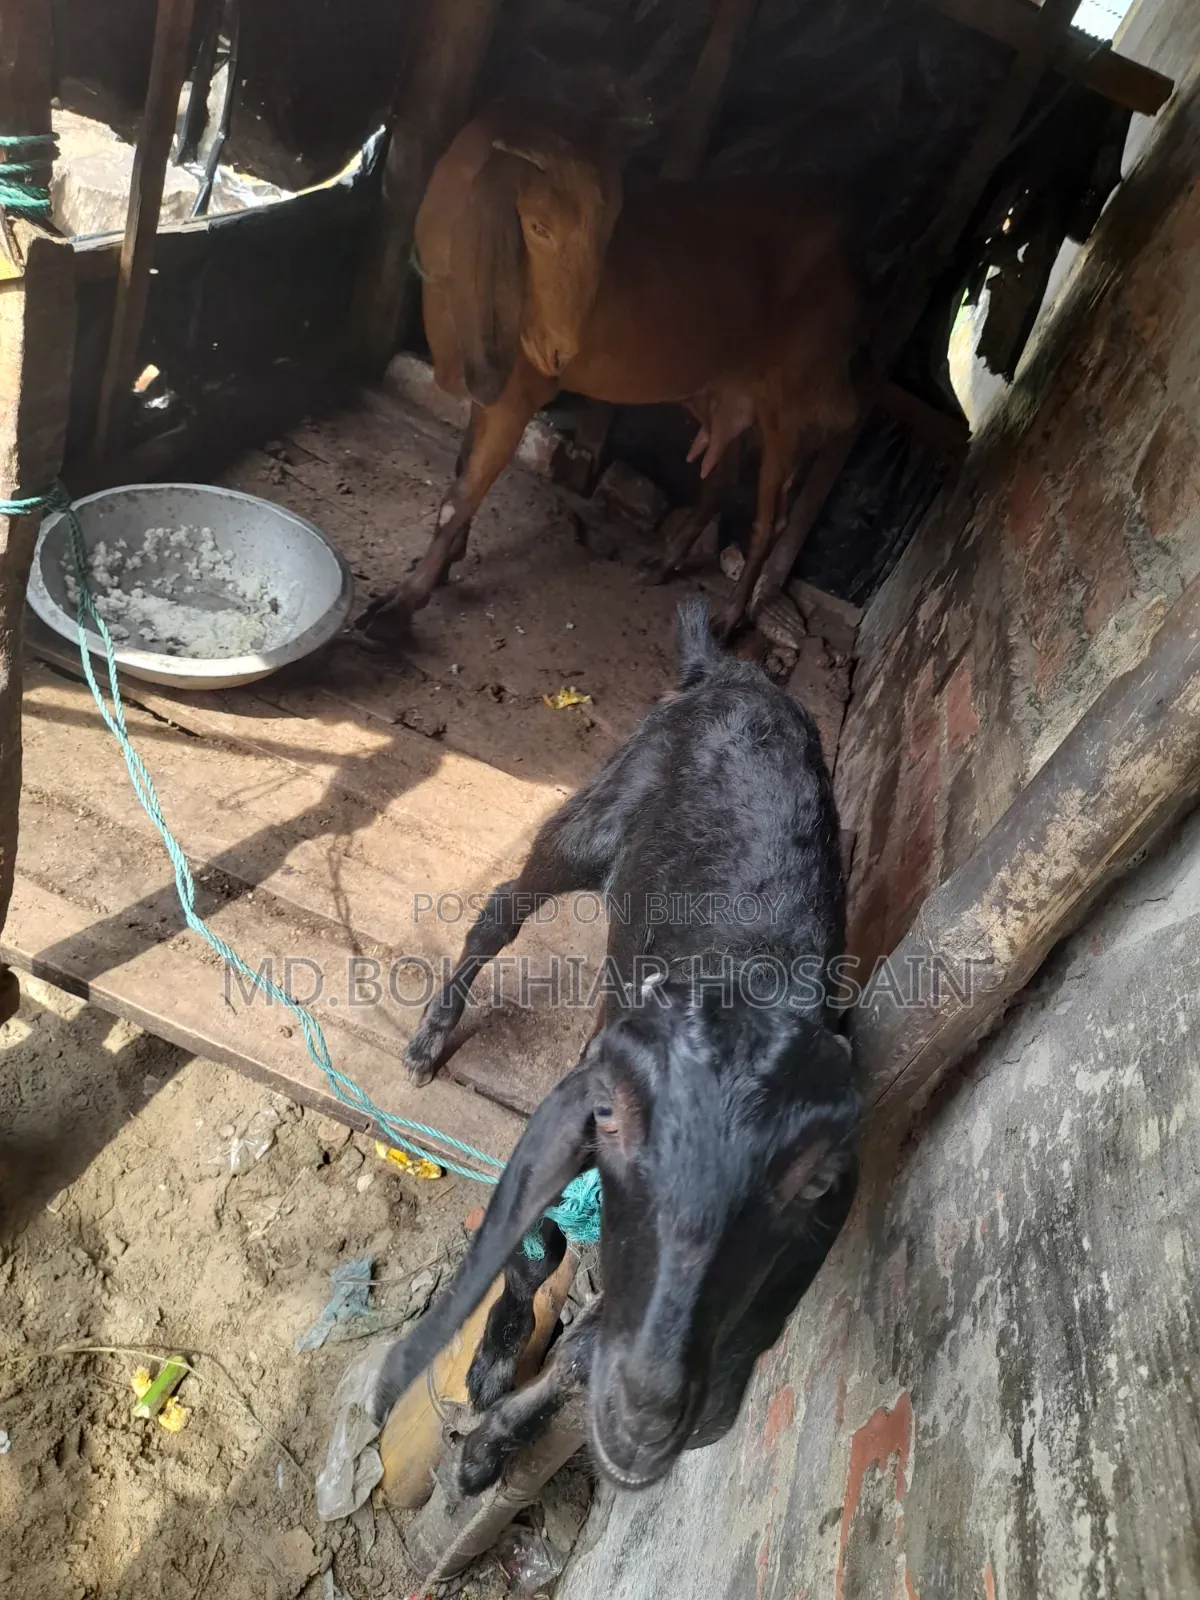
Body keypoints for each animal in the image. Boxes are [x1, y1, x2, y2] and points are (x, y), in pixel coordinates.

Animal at [357, 102, 861, 645]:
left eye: (605, 235)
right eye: (538, 227)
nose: (562, 351)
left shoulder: (516, 396)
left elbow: (461, 496)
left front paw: (400, 606)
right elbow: (460, 468)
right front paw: (443, 569)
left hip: (788, 403)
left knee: (771, 520)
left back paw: (729, 618)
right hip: (719, 389)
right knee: (719, 479)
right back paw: (662, 563)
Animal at [369, 599, 860, 1493]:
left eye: (816, 1185)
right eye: (613, 1120)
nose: (650, 1414)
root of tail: (729, 670)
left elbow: (583, 1354)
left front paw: (492, 1448)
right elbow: (536, 1245)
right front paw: (491, 1362)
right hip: (596, 817)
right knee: (504, 906)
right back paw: (431, 1037)